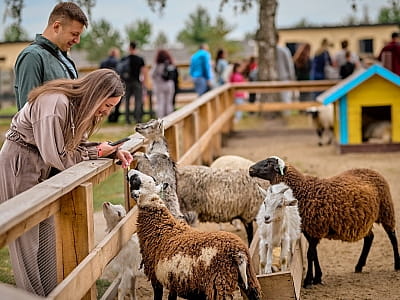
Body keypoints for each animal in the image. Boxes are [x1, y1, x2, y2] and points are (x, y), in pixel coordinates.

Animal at [126, 169, 260, 300]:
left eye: (135, 180)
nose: (130, 170)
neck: (160, 226)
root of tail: (238, 253)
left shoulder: (155, 277)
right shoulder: (173, 280)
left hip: (219, 283)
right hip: (250, 280)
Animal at [250, 155, 400, 288]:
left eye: (268, 163)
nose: (250, 169)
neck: (303, 190)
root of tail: (372, 171)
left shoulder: (316, 229)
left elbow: (310, 254)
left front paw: (308, 281)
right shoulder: (311, 231)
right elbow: (314, 254)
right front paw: (317, 278)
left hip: (386, 210)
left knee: (392, 236)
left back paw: (396, 264)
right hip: (366, 220)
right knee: (370, 238)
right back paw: (359, 266)